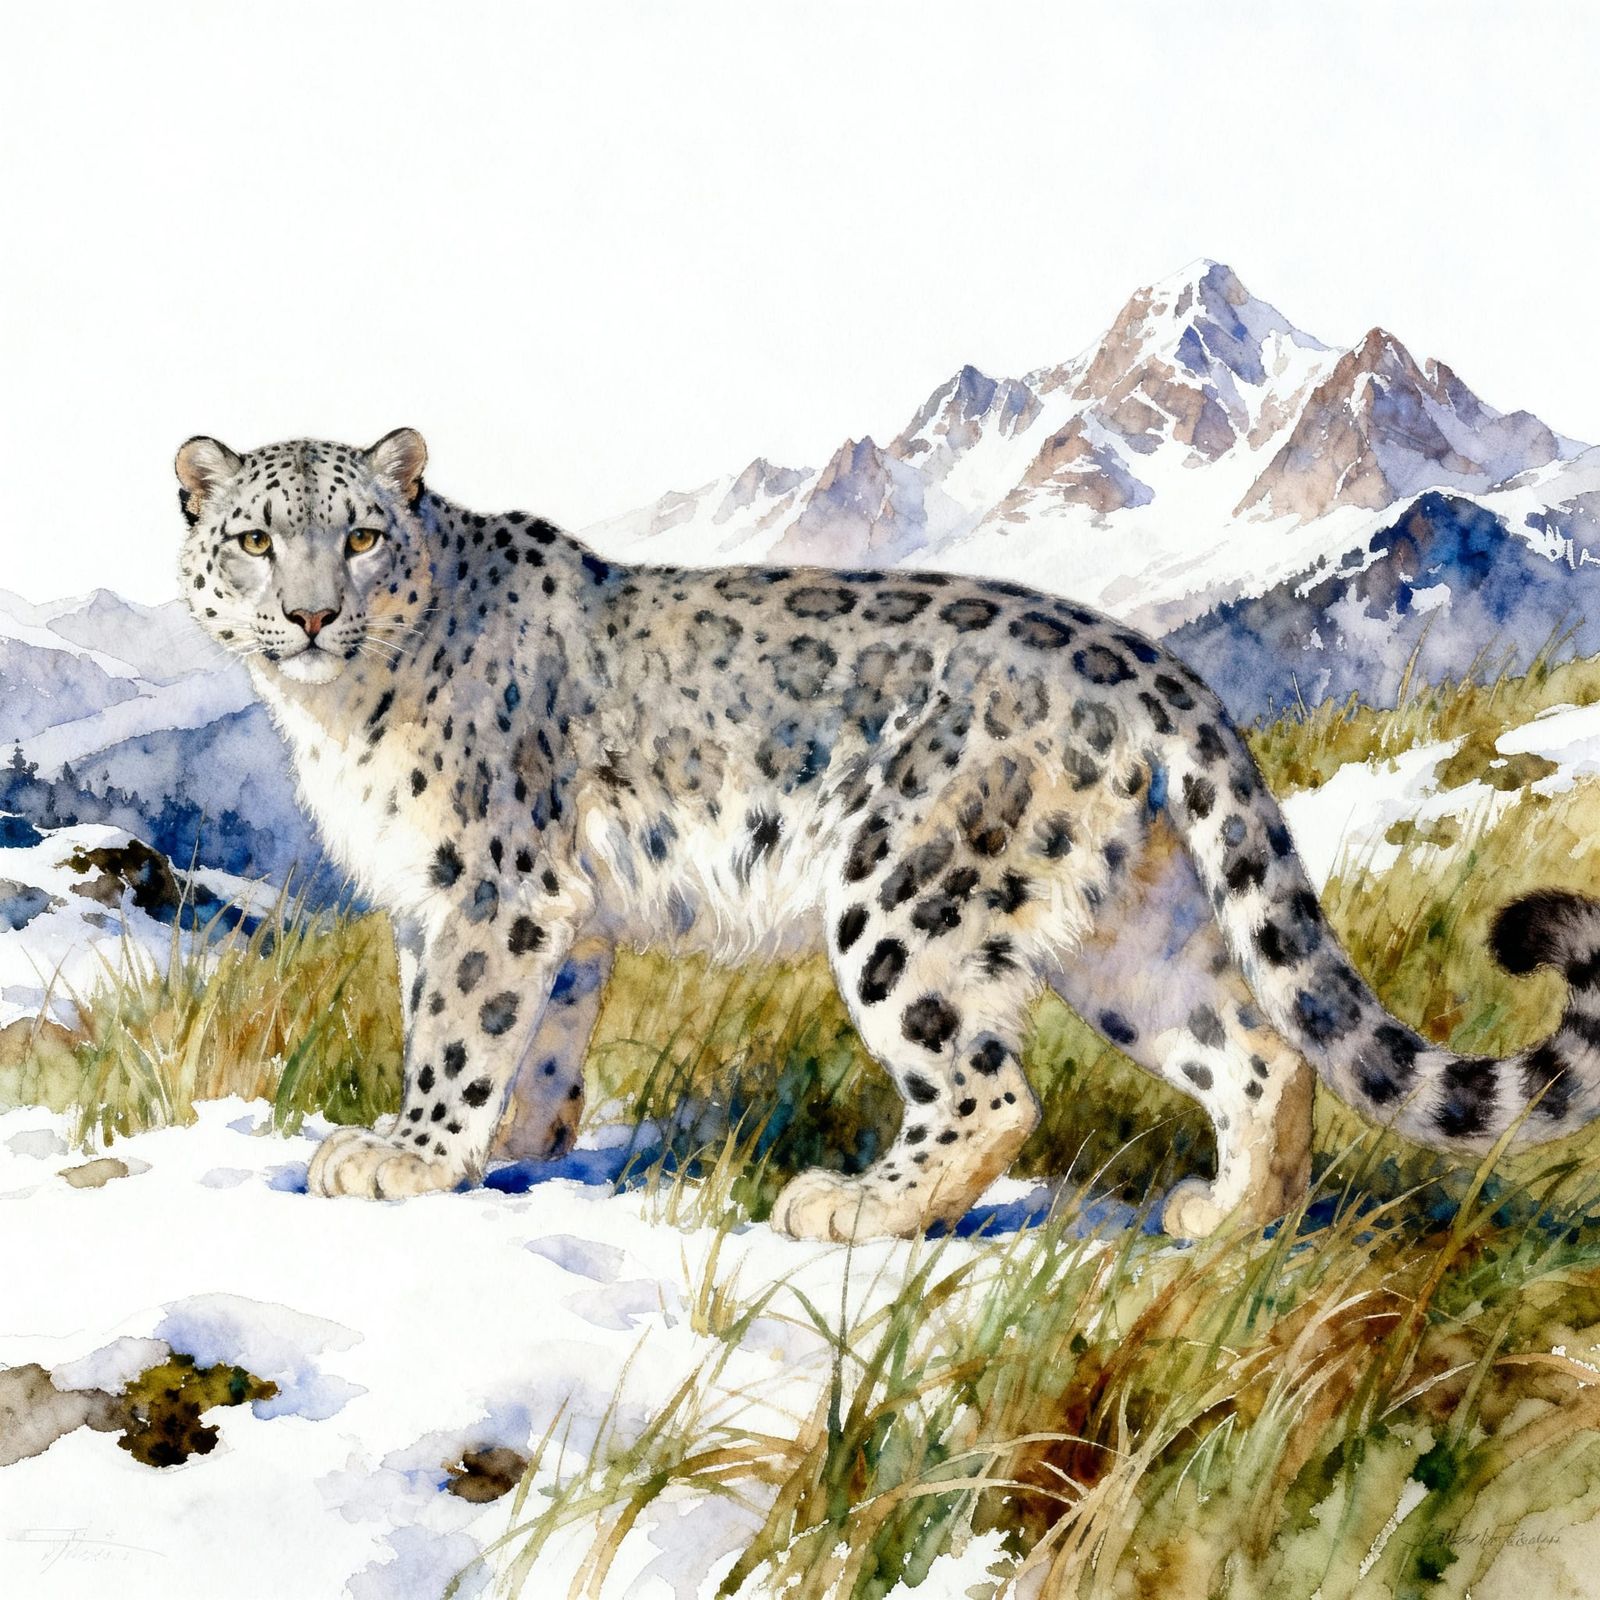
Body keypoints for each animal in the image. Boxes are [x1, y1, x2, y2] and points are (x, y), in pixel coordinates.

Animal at [173, 428, 1600, 1241]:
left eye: (363, 534)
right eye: (253, 540)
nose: (311, 613)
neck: (331, 716)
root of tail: (1155, 669)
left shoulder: (493, 884)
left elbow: (460, 1027)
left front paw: (406, 1156)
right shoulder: (491, 904)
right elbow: (524, 1028)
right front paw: (513, 1144)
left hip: (906, 896)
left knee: (989, 1086)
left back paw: (854, 1206)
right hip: (1128, 930)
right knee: (1259, 1048)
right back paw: (1231, 1221)